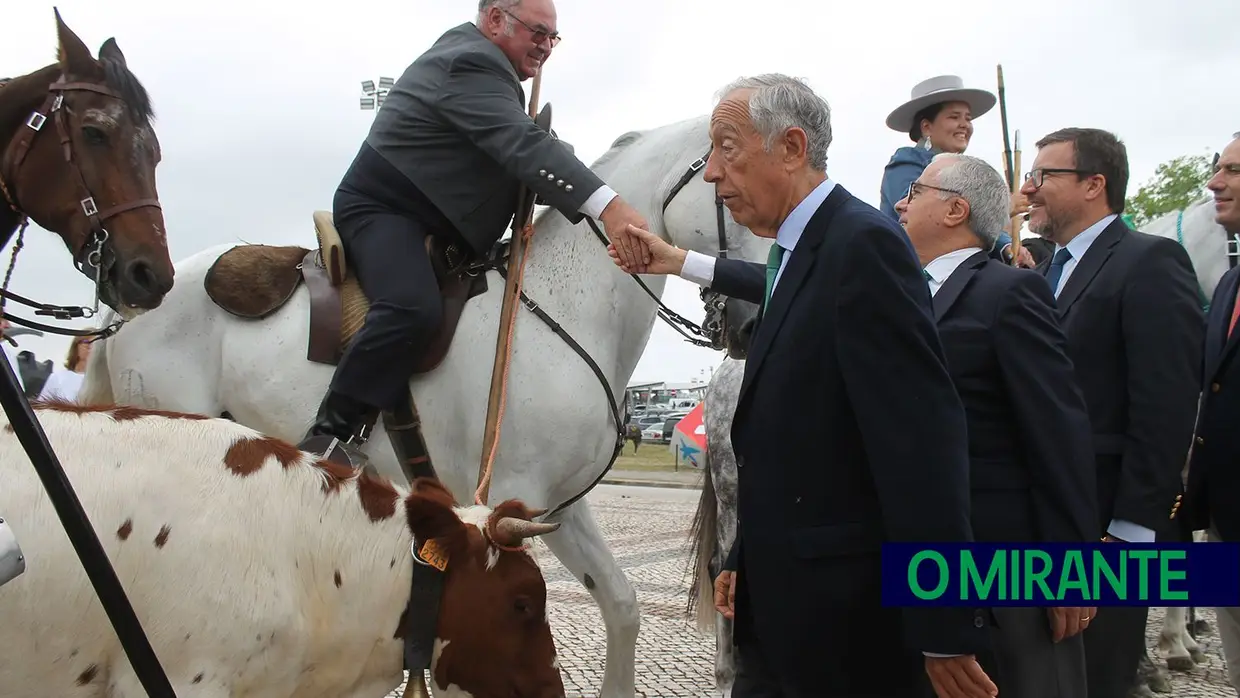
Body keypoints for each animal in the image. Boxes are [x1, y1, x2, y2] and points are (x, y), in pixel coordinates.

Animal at [77, 114, 768, 698]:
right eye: (737, 195)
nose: (750, 323)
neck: (559, 309)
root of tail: (130, 306)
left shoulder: (561, 506)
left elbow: (621, 603)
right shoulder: (516, 498)